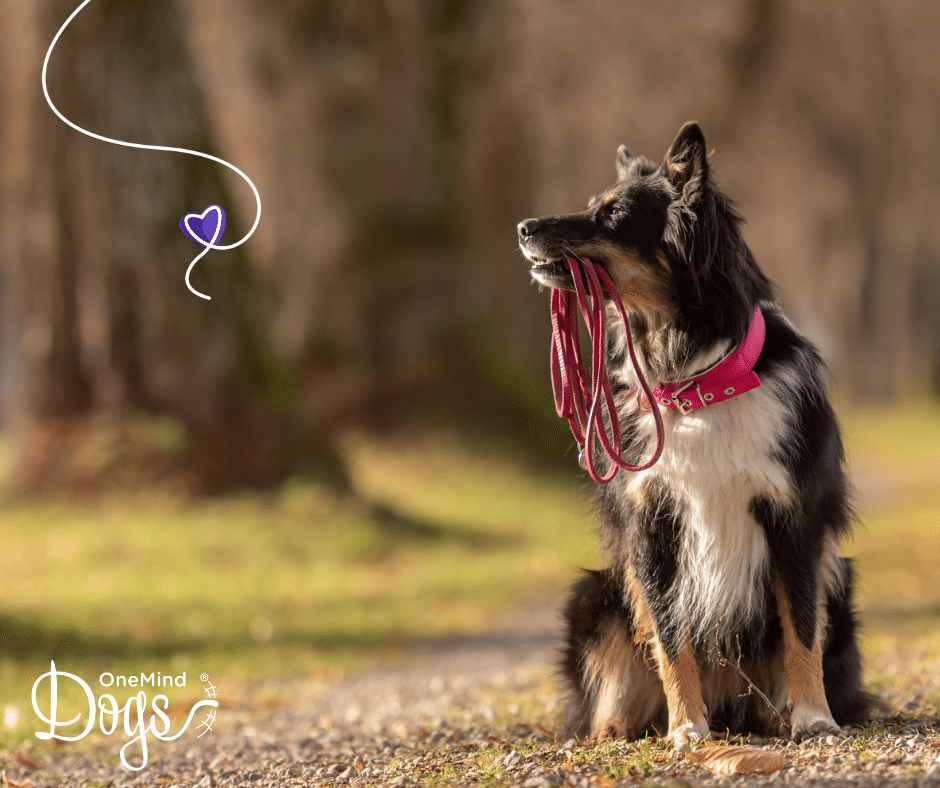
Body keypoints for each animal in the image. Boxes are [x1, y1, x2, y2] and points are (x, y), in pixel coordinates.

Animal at [516, 121, 872, 744]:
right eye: (591, 205)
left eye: (613, 214)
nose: (523, 228)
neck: (697, 384)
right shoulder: (652, 523)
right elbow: (669, 634)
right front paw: (687, 728)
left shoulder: (795, 520)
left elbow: (802, 628)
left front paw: (814, 717)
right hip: (596, 598)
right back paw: (621, 732)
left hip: (841, 585)